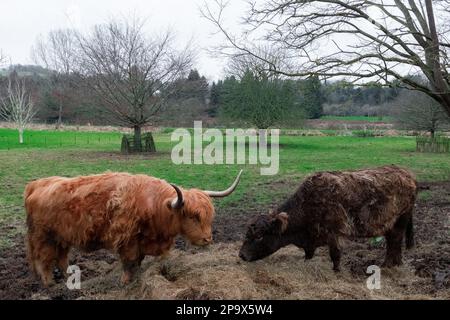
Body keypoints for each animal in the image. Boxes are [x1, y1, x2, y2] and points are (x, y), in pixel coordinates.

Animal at [241, 166, 416, 272]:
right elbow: (308, 255)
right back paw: (396, 264)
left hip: (401, 220)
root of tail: (406, 173)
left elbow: (335, 255)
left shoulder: (335, 233)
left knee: (395, 241)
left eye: (259, 236)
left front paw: (336, 272)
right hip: (390, 224)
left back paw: (387, 265)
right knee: (393, 241)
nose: (241, 255)